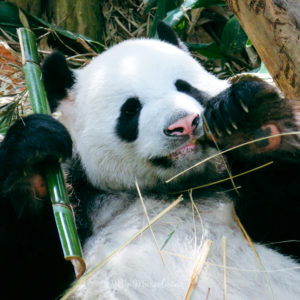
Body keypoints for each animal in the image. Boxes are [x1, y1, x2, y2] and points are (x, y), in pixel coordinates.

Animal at [0, 22, 300, 298]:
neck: (182, 188)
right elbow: (29, 269)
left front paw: (251, 121)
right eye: (131, 110)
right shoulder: (78, 203)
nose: (184, 124)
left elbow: (281, 223)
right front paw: (32, 164)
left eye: (185, 87)